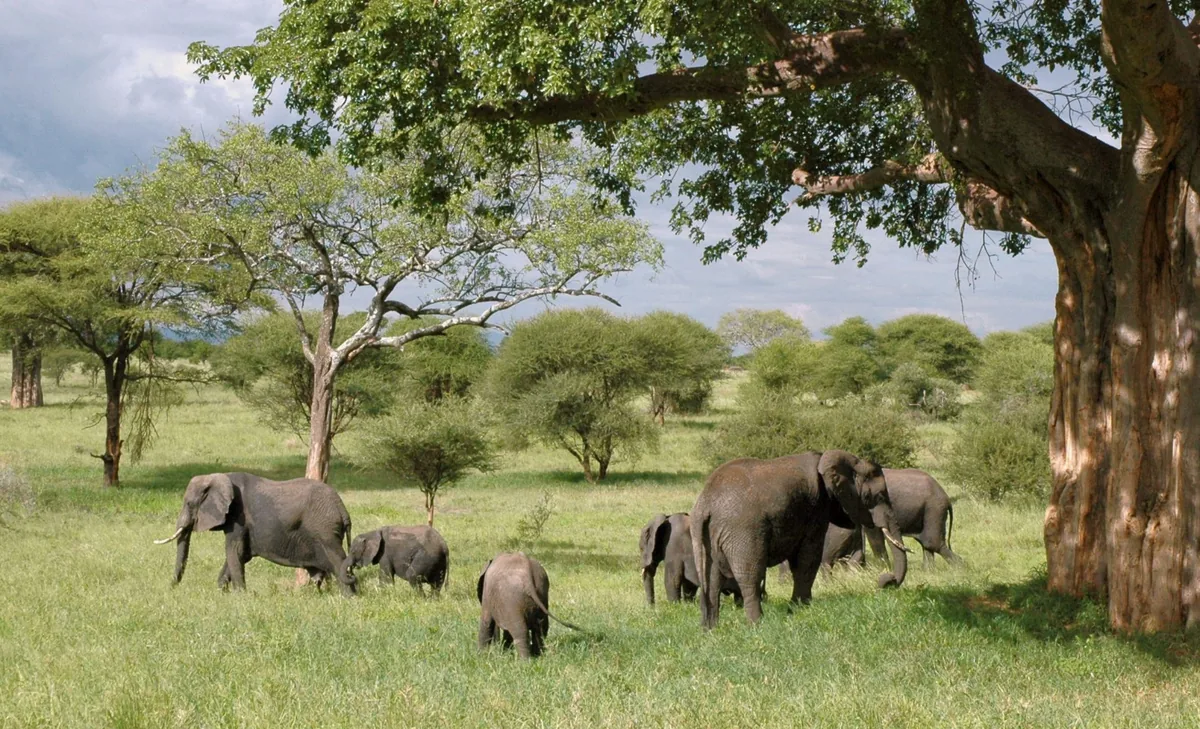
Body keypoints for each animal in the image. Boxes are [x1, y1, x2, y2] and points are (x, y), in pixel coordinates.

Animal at [154, 472, 356, 596]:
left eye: (189, 504)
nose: (171, 589)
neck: (219, 476)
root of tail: (342, 509)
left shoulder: (238, 517)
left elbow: (234, 551)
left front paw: (240, 596)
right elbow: (240, 554)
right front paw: (222, 592)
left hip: (325, 531)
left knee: (338, 560)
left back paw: (350, 597)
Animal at [691, 450, 910, 629]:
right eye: (878, 496)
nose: (886, 581)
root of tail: (705, 504)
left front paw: (798, 609)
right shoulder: (816, 507)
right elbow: (808, 557)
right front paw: (800, 610)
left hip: (707, 536)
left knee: (712, 580)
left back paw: (710, 629)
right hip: (743, 532)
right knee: (750, 575)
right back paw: (758, 625)